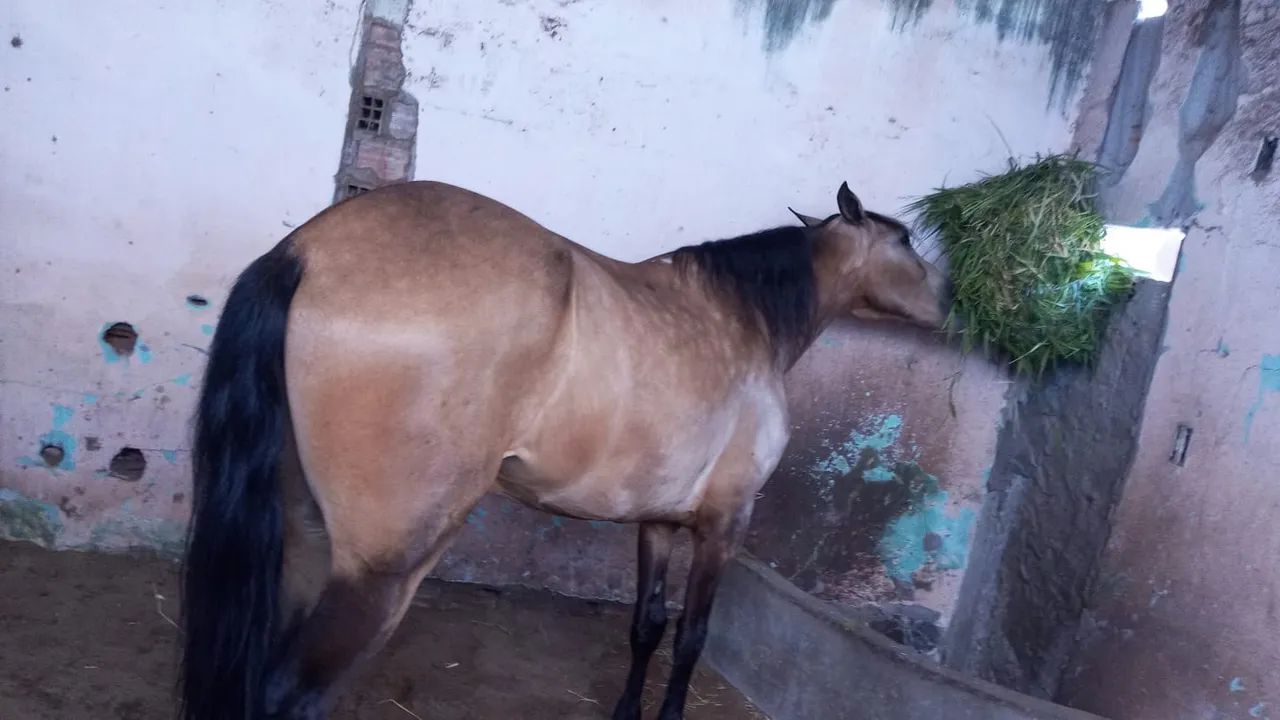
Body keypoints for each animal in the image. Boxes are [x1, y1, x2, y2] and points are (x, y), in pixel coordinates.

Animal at [180, 180, 949, 720]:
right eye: (907, 240)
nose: (953, 308)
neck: (746, 319)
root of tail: (307, 251)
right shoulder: (726, 523)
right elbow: (692, 635)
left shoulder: (658, 522)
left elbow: (646, 625)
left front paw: (627, 713)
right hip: (382, 568)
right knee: (290, 695)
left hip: (303, 542)